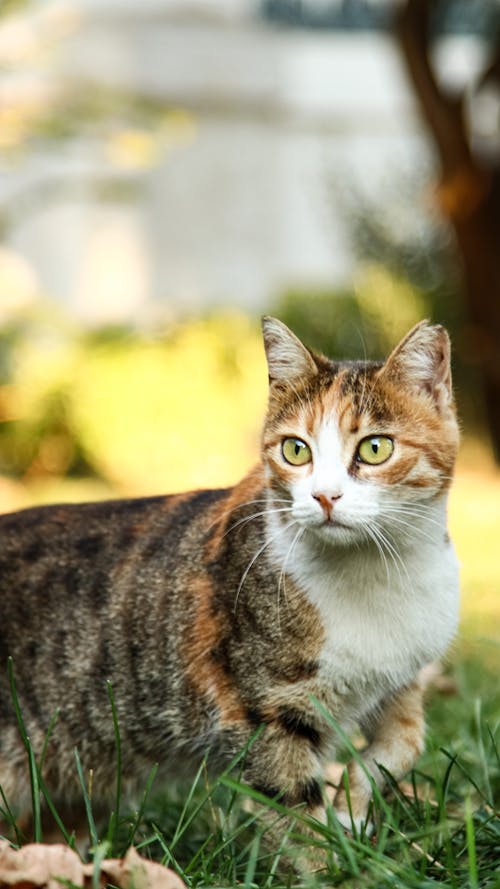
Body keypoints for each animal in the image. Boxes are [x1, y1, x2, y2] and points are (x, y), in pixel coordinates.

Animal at [0, 316, 460, 864]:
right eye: (295, 449)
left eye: (375, 448)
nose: (324, 496)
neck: (374, 571)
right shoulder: (266, 708)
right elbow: (295, 807)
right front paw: (334, 866)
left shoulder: (399, 675)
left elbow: (406, 743)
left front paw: (351, 806)